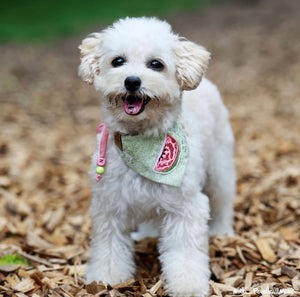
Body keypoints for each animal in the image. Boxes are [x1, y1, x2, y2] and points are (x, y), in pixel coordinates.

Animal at [78, 16, 236, 296]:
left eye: (156, 64)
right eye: (118, 61)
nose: (132, 81)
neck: (141, 140)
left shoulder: (186, 207)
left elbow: (184, 252)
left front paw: (187, 286)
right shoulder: (109, 206)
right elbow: (108, 247)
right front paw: (106, 277)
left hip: (219, 166)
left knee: (224, 198)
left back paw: (222, 231)